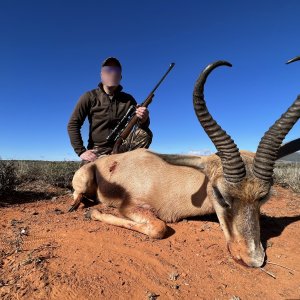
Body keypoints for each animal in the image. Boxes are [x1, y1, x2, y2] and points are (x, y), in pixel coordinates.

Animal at [69, 56, 300, 268]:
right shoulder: (130, 206)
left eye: (264, 197)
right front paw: (94, 212)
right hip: (85, 180)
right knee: (77, 195)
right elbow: (159, 227)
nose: (253, 259)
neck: (168, 179)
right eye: (220, 194)